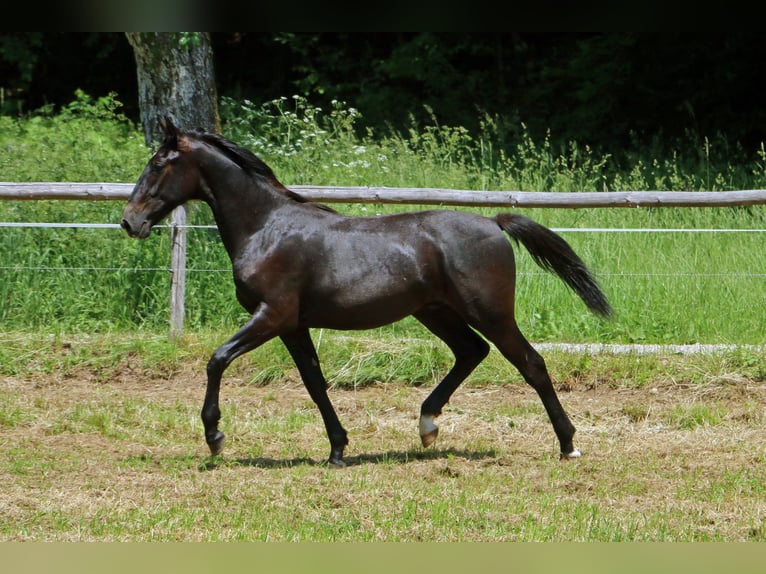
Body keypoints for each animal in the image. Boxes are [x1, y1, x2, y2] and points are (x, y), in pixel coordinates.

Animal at [121, 118, 612, 468]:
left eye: (159, 163)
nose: (130, 221)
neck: (267, 228)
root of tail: (494, 223)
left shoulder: (272, 315)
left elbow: (217, 359)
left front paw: (215, 437)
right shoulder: (294, 325)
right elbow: (314, 383)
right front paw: (338, 449)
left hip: (489, 312)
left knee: (531, 363)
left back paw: (568, 445)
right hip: (436, 312)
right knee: (472, 352)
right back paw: (427, 425)